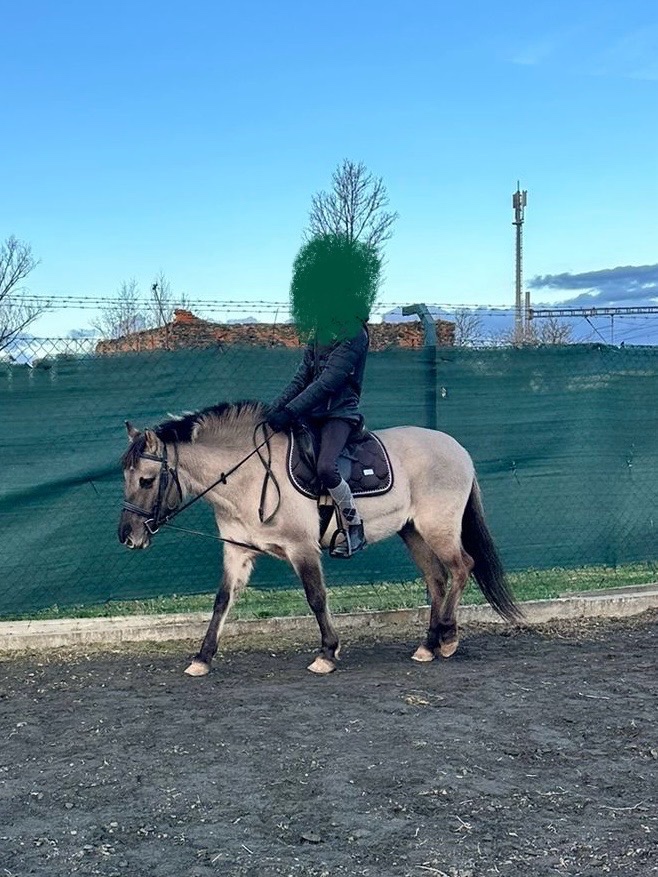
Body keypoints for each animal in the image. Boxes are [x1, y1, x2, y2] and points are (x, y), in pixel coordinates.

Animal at [118, 400, 521, 676]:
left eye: (147, 480)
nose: (127, 536)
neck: (249, 476)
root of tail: (458, 449)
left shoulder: (302, 548)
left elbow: (315, 598)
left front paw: (327, 653)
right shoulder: (236, 552)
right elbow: (221, 602)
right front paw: (202, 658)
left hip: (439, 528)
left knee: (461, 568)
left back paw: (448, 639)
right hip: (413, 531)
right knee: (437, 579)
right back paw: (428, 644)